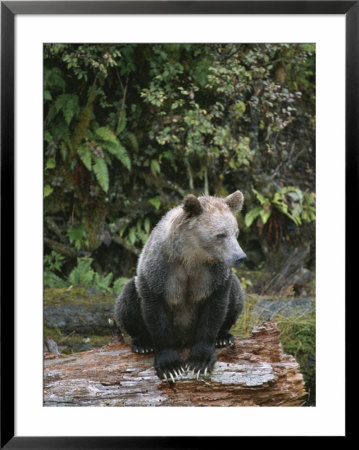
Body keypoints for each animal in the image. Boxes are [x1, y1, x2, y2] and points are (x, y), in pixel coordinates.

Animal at [116, 190, 248, 380]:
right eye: (220, 235)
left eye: (236, 233)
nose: (240, 257)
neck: (191, 256)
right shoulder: (160, 270)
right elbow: (156, 312)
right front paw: (170, 366)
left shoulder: (214, 276)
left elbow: (214, 311)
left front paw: (199, 362)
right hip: (134, 291)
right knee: (127, 300)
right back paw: (143, 343)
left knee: (236, 297)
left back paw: (223, 336)